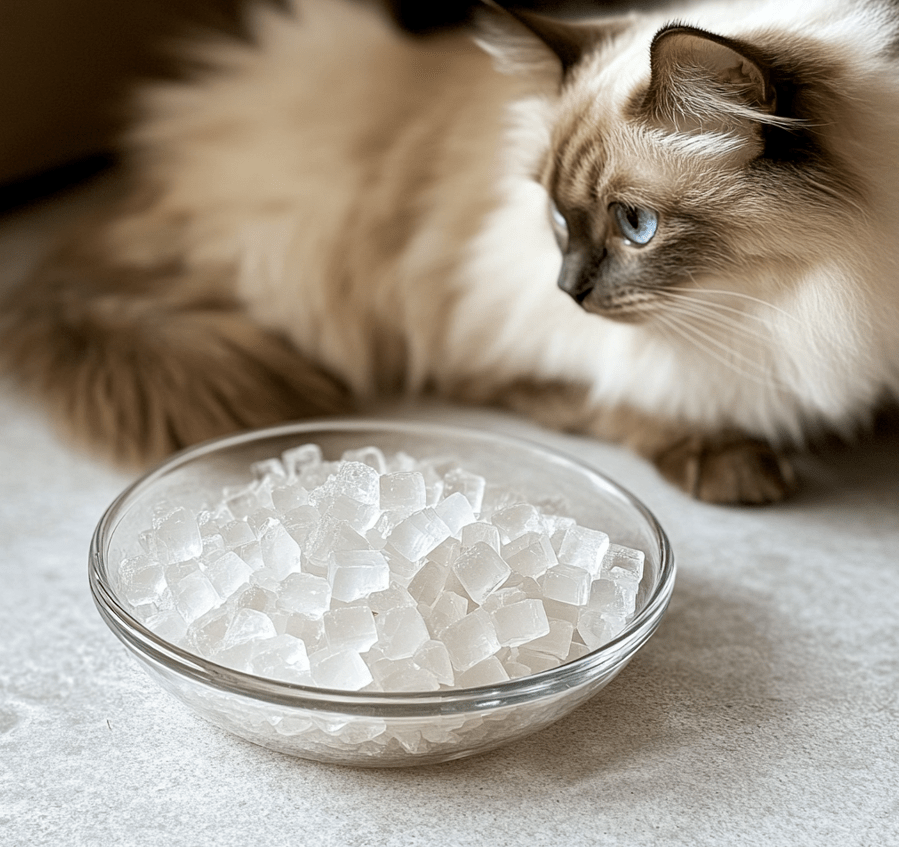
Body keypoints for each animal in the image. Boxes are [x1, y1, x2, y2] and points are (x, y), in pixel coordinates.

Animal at [1, 0, 899, 504]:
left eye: (634, 224)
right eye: (555, 216)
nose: (568, 291)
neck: (792, 294)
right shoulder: (490, 338)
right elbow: (633, 397)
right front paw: (734, 459)